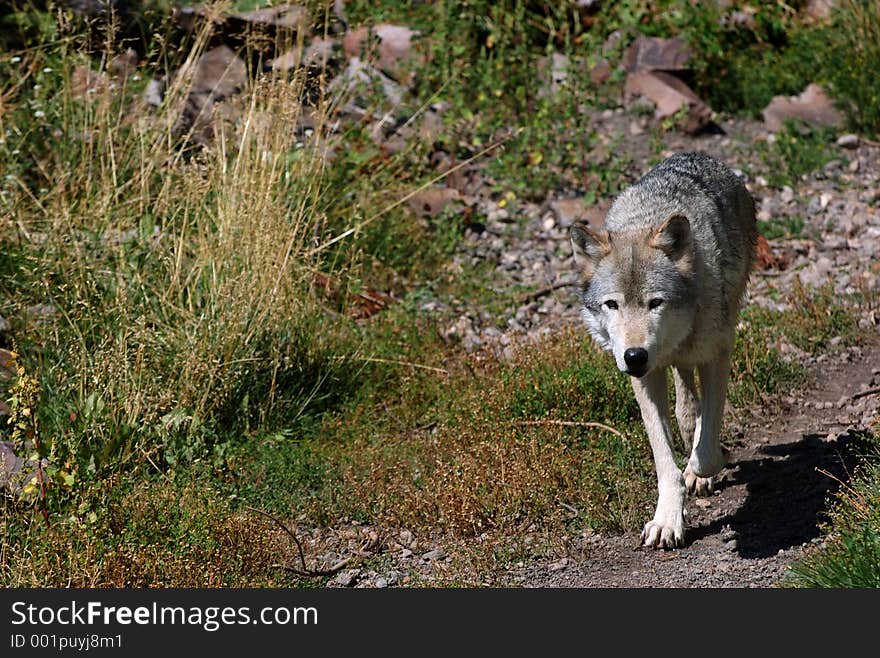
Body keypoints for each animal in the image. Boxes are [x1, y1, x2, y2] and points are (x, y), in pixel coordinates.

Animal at [572, 151, 756, 544]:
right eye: (612, 305)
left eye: (655, 302)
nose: (634, 355)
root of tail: (698, 155)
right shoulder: (645, 377)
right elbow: (664, 460)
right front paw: (668, 520)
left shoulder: (718, 353)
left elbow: (706, 450)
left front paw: (700, 469)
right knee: (685, 396)